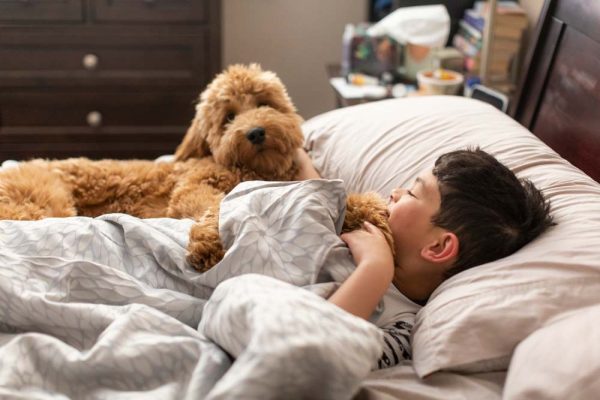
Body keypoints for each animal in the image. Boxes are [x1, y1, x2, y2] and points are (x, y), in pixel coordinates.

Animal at [0, 63, 394, 272]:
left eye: (264, 103)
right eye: (228, 117)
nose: (255, 132)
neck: (249, 169)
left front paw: (371, 211)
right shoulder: (193, 187)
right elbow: (215, 204)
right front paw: (211, 241)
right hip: (40, 205)